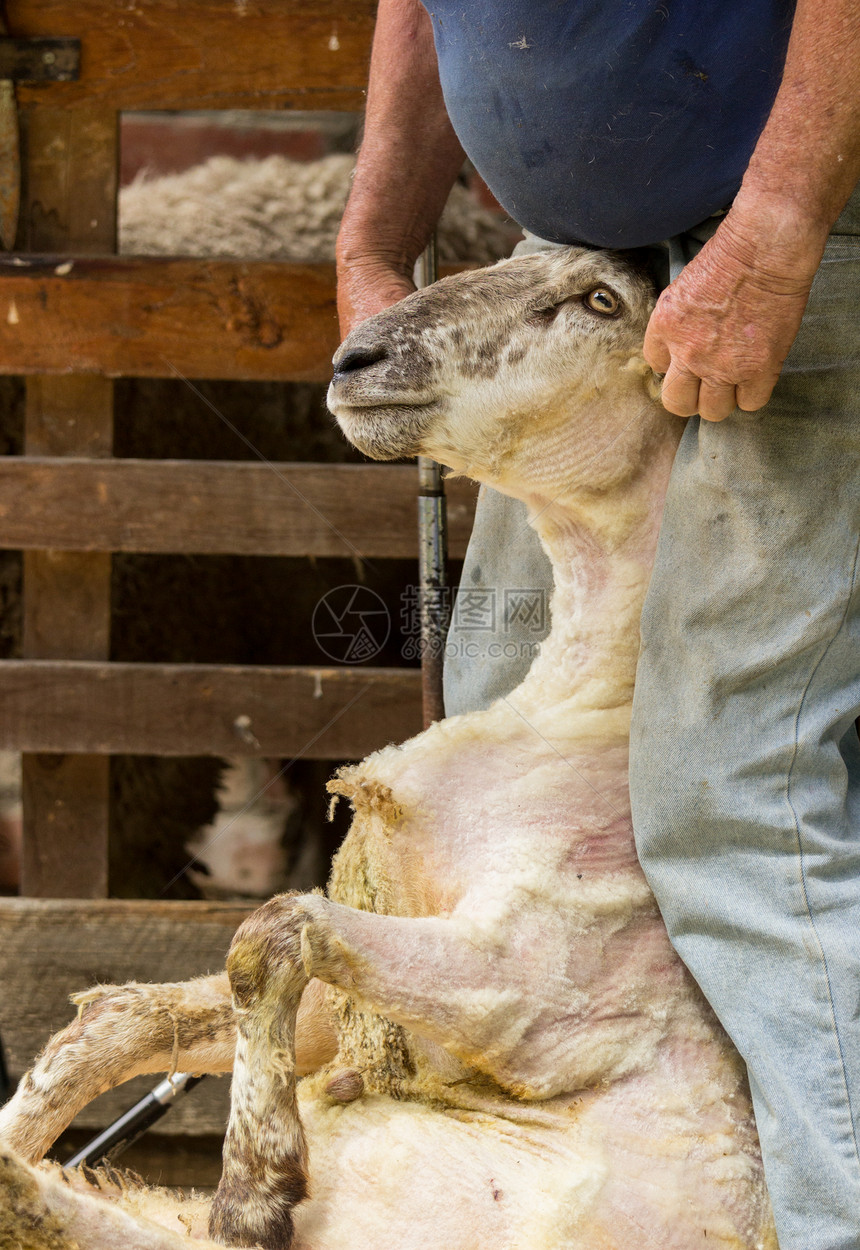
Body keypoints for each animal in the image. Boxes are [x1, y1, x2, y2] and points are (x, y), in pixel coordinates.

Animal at [0, 246, 775, 1250]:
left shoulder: (538, 991)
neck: (579, 705)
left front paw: (253, 1190)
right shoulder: (350, 1015)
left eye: (602, 301)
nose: (353, 358)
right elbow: (127, 1017)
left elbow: (272, 932)